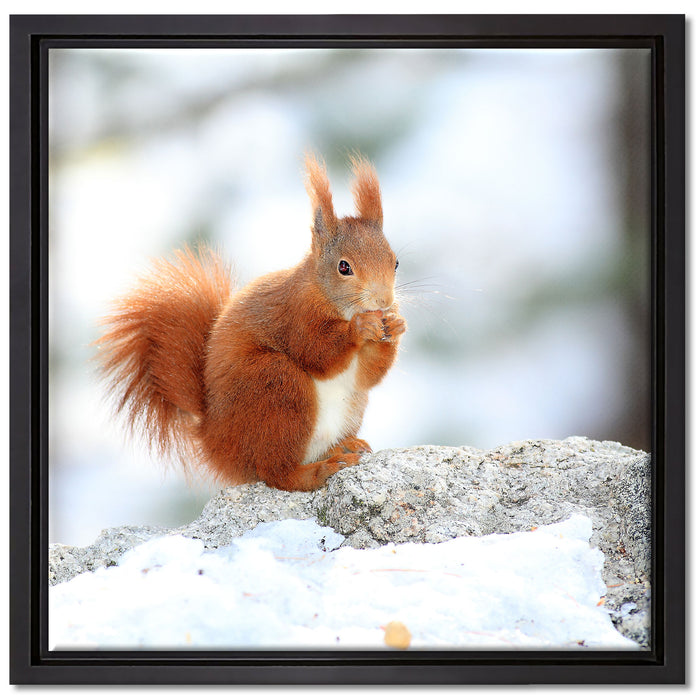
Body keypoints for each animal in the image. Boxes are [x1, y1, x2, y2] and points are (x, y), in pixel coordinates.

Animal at [95, 153, 406, 492]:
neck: (330, 299)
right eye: (344, 267)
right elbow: (317, 352)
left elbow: (368, 376)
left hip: (347, 405)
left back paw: (343, 446)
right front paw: (359, 329)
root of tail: (214, 441)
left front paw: (396, 325)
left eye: (395, 262)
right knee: (277, 472)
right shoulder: (295, 315)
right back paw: (319, 470)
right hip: (275, 386)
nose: (384, 301)